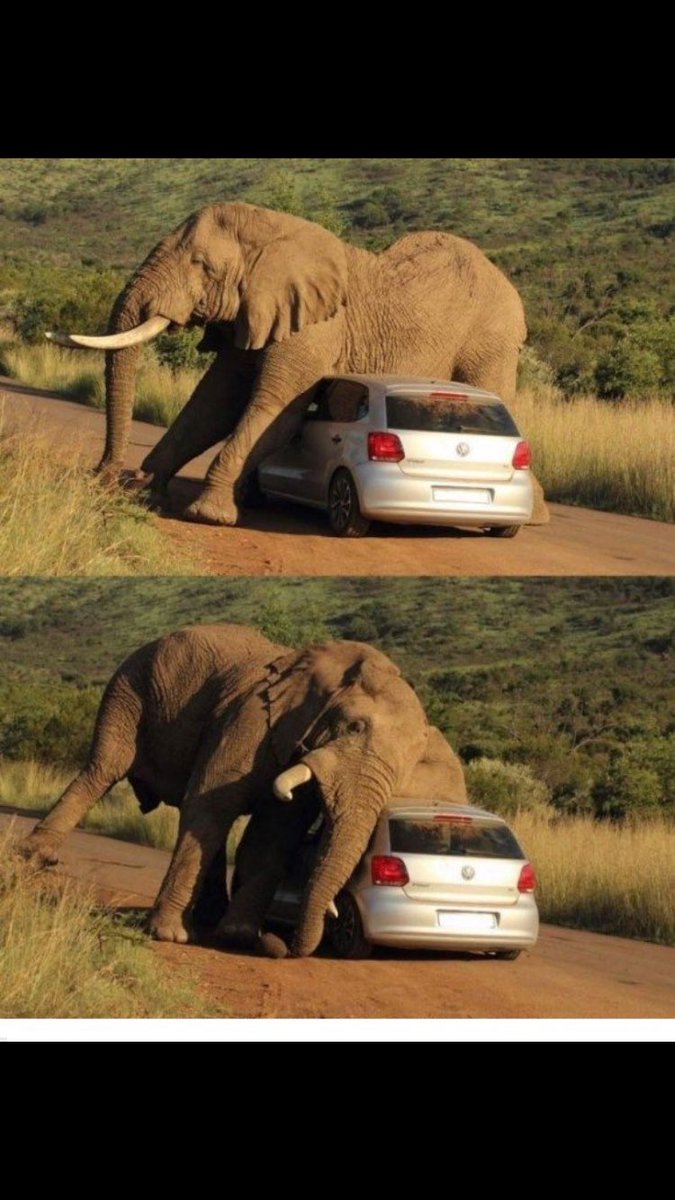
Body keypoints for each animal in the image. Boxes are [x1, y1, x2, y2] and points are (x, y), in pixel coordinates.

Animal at [22, 622, 467, 958]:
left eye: (410, 763)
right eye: (354, 727)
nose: (277, 944)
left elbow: (274, 831)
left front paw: (236, 935)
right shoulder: (253, 718)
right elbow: (212, 804)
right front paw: (170, 936)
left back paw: (209, 919)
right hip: (131, 686)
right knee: (104, 769)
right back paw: (35, 859)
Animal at [47, 202, 549, 527]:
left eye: (202, 265)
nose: (104, 476)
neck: (274, 232)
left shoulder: (314, 328)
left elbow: (274, 408)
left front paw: (208, 513)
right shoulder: (254, 313)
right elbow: (213, 405)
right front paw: (147, 489)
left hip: (491, 337)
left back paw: (536, 515)